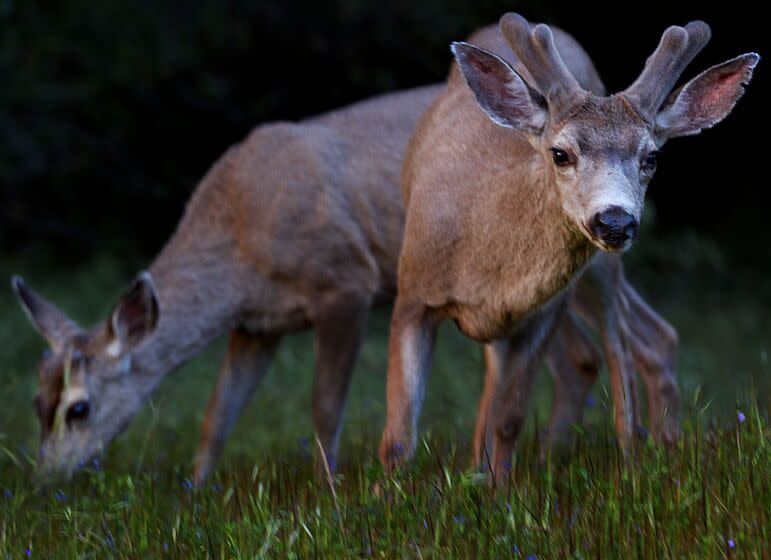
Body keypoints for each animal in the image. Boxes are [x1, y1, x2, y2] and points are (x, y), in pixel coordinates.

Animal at [382, 13, 756, 482]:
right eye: (561, 153)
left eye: (651, 157)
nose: (614, 220)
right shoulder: (412, 294)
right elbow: (399, 436)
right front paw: (387, 495)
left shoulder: (544, 310)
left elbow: (510, 418)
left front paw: (503, 490)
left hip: (597, 274)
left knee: (626, 347)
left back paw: (638, 461)